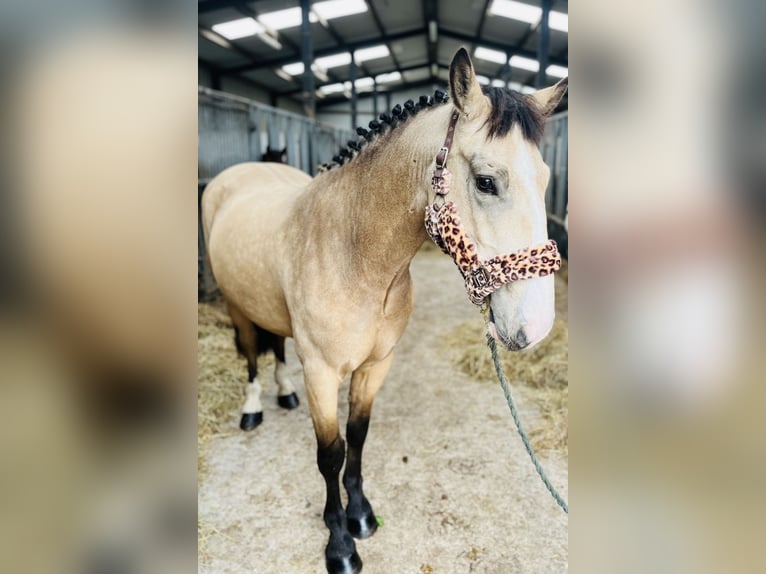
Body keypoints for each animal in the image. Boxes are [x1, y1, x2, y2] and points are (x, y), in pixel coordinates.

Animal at [202, 47, 567, 574]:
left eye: (545, 179)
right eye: (486, 182)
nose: (536, 326)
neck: (354, 254)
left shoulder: (376, 365)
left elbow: (358, 437)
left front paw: (361, 517)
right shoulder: (321, 372)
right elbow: (330, 455)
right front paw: (339, 545)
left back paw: (284, 393)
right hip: (235, 305)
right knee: (251, 351)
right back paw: (252, 410)